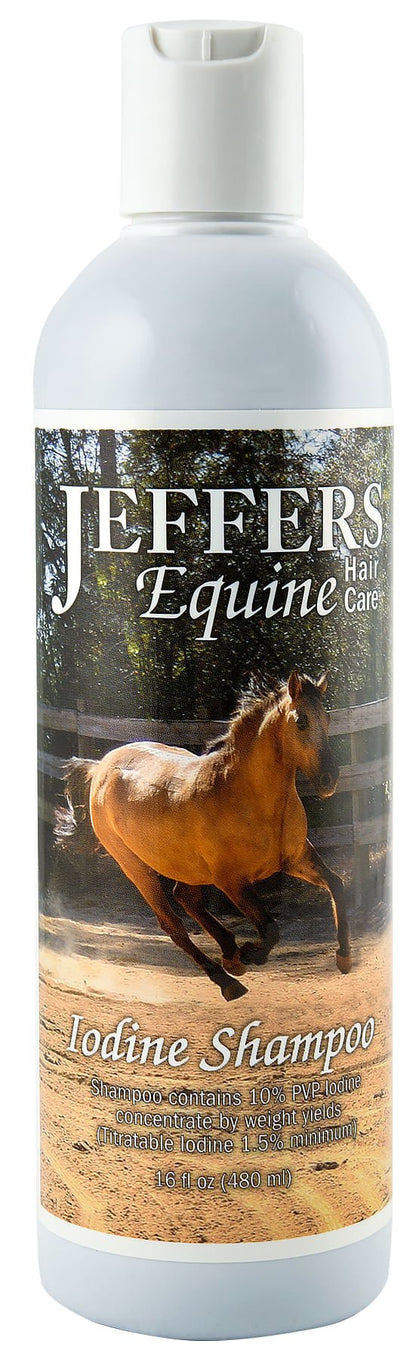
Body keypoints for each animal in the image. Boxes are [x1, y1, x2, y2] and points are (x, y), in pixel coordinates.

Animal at [56, 670, 351, 1001]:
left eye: (327, 718)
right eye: (301, 721)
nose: (329, 779)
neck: (249, 796)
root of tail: (100, 768)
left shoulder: (296, 858)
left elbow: (337, 885)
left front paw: (344, 957)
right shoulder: (231, 881)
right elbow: (270, 928)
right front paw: (250, 953)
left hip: (187, 866)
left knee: (186, 898)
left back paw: (230, 955)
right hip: (134, 866)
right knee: (172, 922)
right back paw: (227, 978)